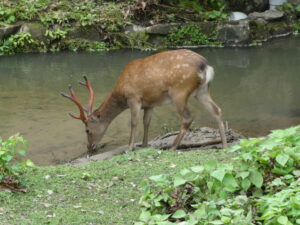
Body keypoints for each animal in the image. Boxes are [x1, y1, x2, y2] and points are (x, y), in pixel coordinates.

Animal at [61, 49, 227, 154]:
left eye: (87, 130)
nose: (90, 148)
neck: (120, 93)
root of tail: (206, 66)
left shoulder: (134, 98)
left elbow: (134, 122)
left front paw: (130, 147)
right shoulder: (149, 104)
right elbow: (146, 122)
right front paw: (144, 145)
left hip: (179, 91)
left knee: (187, 117)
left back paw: (173, 147)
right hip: (202, 91)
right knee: (217, 110)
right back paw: (224, 145)